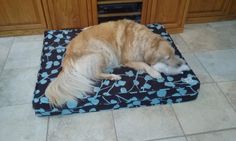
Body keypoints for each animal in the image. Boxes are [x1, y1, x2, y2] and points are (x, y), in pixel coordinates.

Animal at [44, 19, 184, 106]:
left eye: (174, 53)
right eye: (167, 58)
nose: (180, 64)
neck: (143, 39)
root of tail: (67, 57)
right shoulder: (127, 60)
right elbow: (145, 64)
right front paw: (154, 72)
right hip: (102, 52)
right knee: (96, 75)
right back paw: (113, 76)